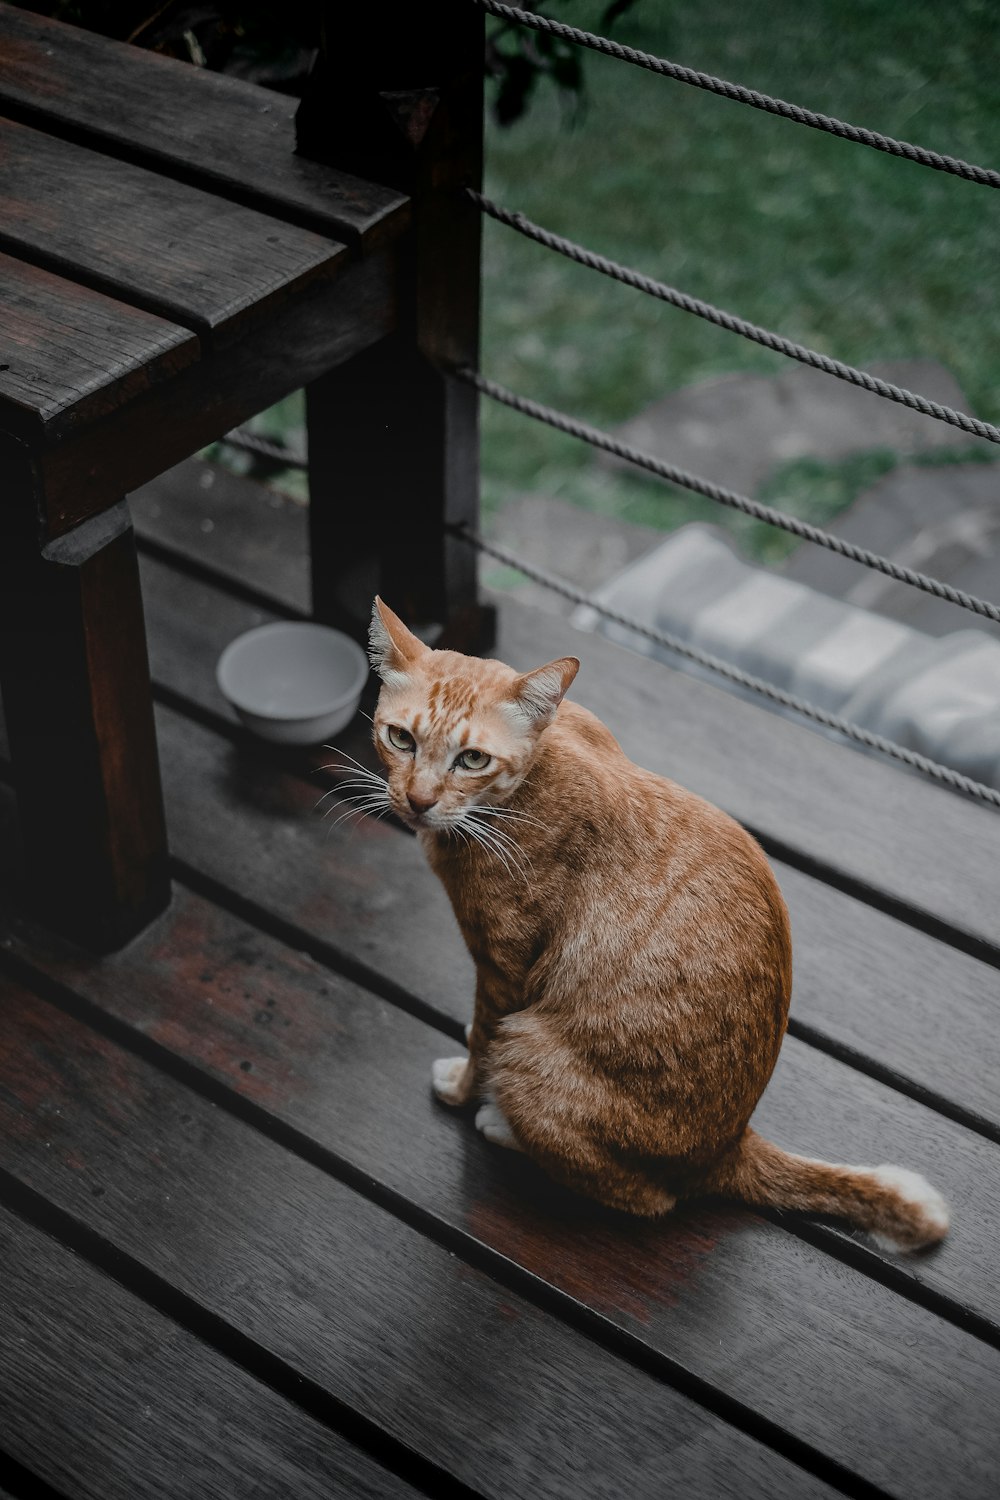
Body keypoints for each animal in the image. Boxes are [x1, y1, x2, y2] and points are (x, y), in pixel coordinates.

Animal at [365, 597, 947, 1254]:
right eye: (401, 739)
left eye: (472, 759)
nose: (417, 801)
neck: (526, 785)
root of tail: (728, 1147)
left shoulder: (502, 970)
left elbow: (480, 1043)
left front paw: (464, 1089)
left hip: (530, 1047)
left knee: (648, 1198)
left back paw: (503, 1124)